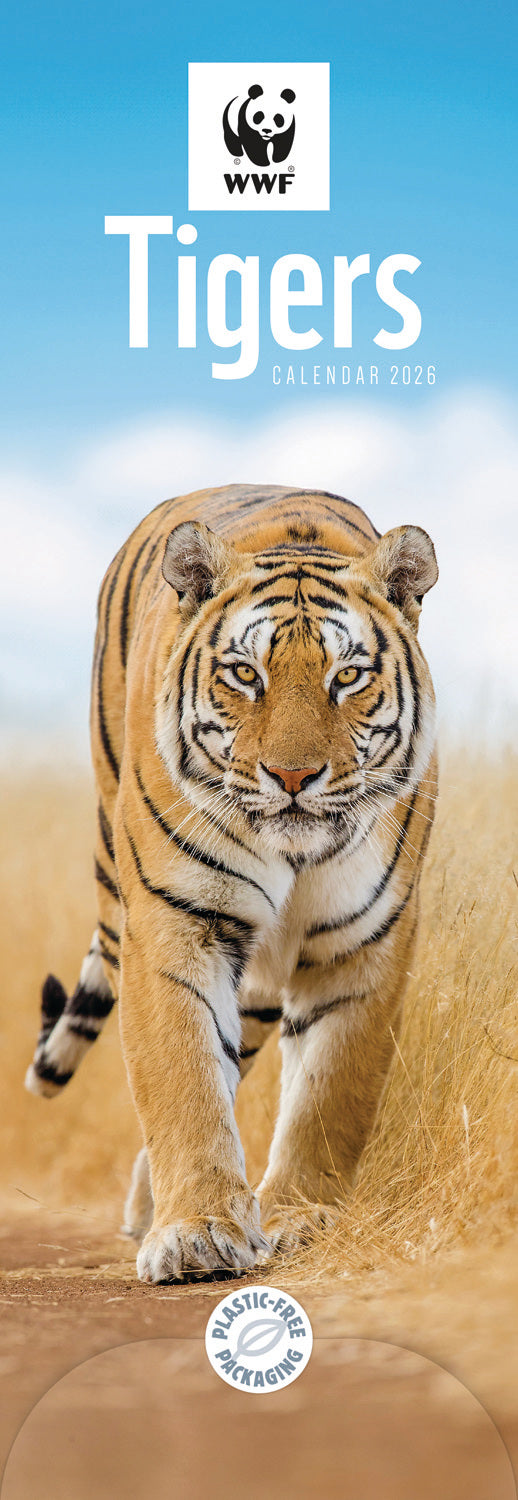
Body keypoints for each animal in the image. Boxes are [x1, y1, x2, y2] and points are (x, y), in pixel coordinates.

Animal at [25, 483, 438, 1283]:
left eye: (348, 676)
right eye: (246, 675)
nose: (293, 777)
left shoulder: (363, 945)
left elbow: (329, 1096)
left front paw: (300, 1221)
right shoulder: (176, 921)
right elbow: (183, 1078)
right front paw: (199, 1233)